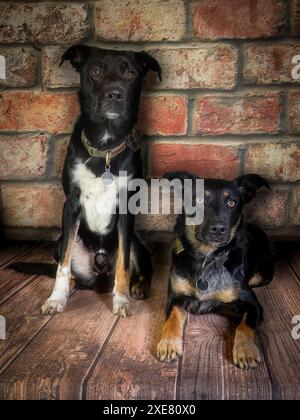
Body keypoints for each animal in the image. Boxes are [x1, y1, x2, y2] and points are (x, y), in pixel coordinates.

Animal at [11, 44, 162, 316]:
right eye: (95, 71)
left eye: (131, 74)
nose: (115, 94)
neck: (105, 147)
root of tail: (99, 271)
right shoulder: (70, 205)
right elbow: (62, 267)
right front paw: (56, 298)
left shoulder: (126, 209)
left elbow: (124, 265)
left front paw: (121, 300)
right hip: (60, 241)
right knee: (70, 268)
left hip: (136, 242)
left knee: (141, 267)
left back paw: (138, 287)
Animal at [158, 171, 276, 368]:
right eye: (198, 200)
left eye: (231, 202)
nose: (218, 229)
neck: (207, 258)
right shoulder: (176, 296)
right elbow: (172, 318)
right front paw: (168, 342)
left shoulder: (253, 304)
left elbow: (244, 325)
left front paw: (245, 349)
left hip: (263, 273)